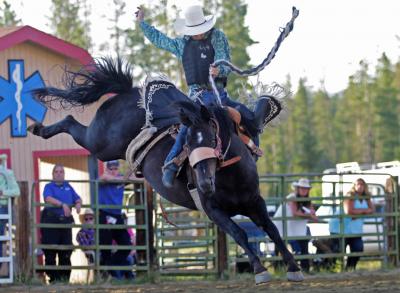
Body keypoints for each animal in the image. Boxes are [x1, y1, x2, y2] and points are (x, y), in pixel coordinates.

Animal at [28, 57, 304, 282]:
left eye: (211, 138)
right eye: (187, 143)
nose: (204, 183)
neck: (230, 175)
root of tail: (128, 92)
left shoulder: (255, 201)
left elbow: (271, 229)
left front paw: (293, 267)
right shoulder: (213, 210)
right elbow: (239, 233)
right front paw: (260, 270)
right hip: (101, 142)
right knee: (71, 122)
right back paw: (39, 129)